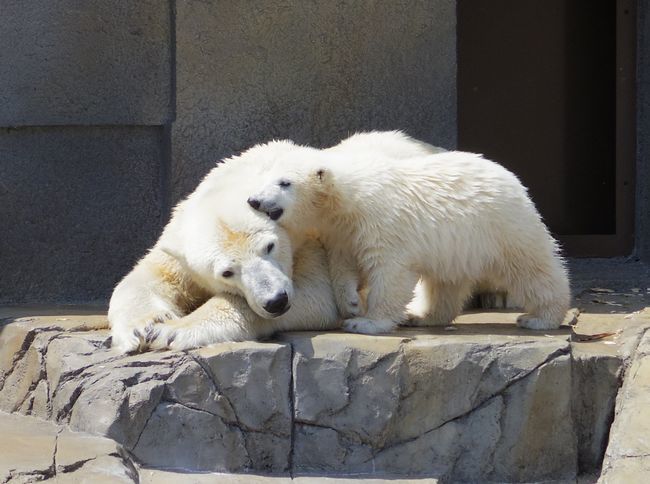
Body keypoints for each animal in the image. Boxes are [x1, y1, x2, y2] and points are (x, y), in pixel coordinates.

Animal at [247, 135, 568, 332]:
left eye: (284, 182)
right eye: (265, 178)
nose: (254, 200)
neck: (351, 197)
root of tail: (512, 177)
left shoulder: (383, 221)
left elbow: (390, 272)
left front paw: (366, 323)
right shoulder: (342, 229)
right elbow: (343, 261)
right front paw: (351, 302)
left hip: (501, 225)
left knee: (531, 267)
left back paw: (540, 317)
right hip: (457, 246)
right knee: (444, 283)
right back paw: (423, 315)